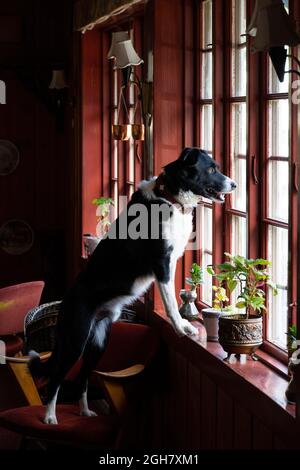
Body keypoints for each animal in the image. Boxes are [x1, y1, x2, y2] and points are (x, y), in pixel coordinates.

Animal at [29, 149, 237, 424]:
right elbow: (171, 304)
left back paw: (85, 411)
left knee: (83, 377)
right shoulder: (162, 264)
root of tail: (64, 303)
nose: (234, 185)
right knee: (56, 378)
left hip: (98, 342)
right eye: (212, 169)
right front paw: (181, 328)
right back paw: (50, 417)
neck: (169, 196)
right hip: (75, 339)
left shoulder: (171, 264)